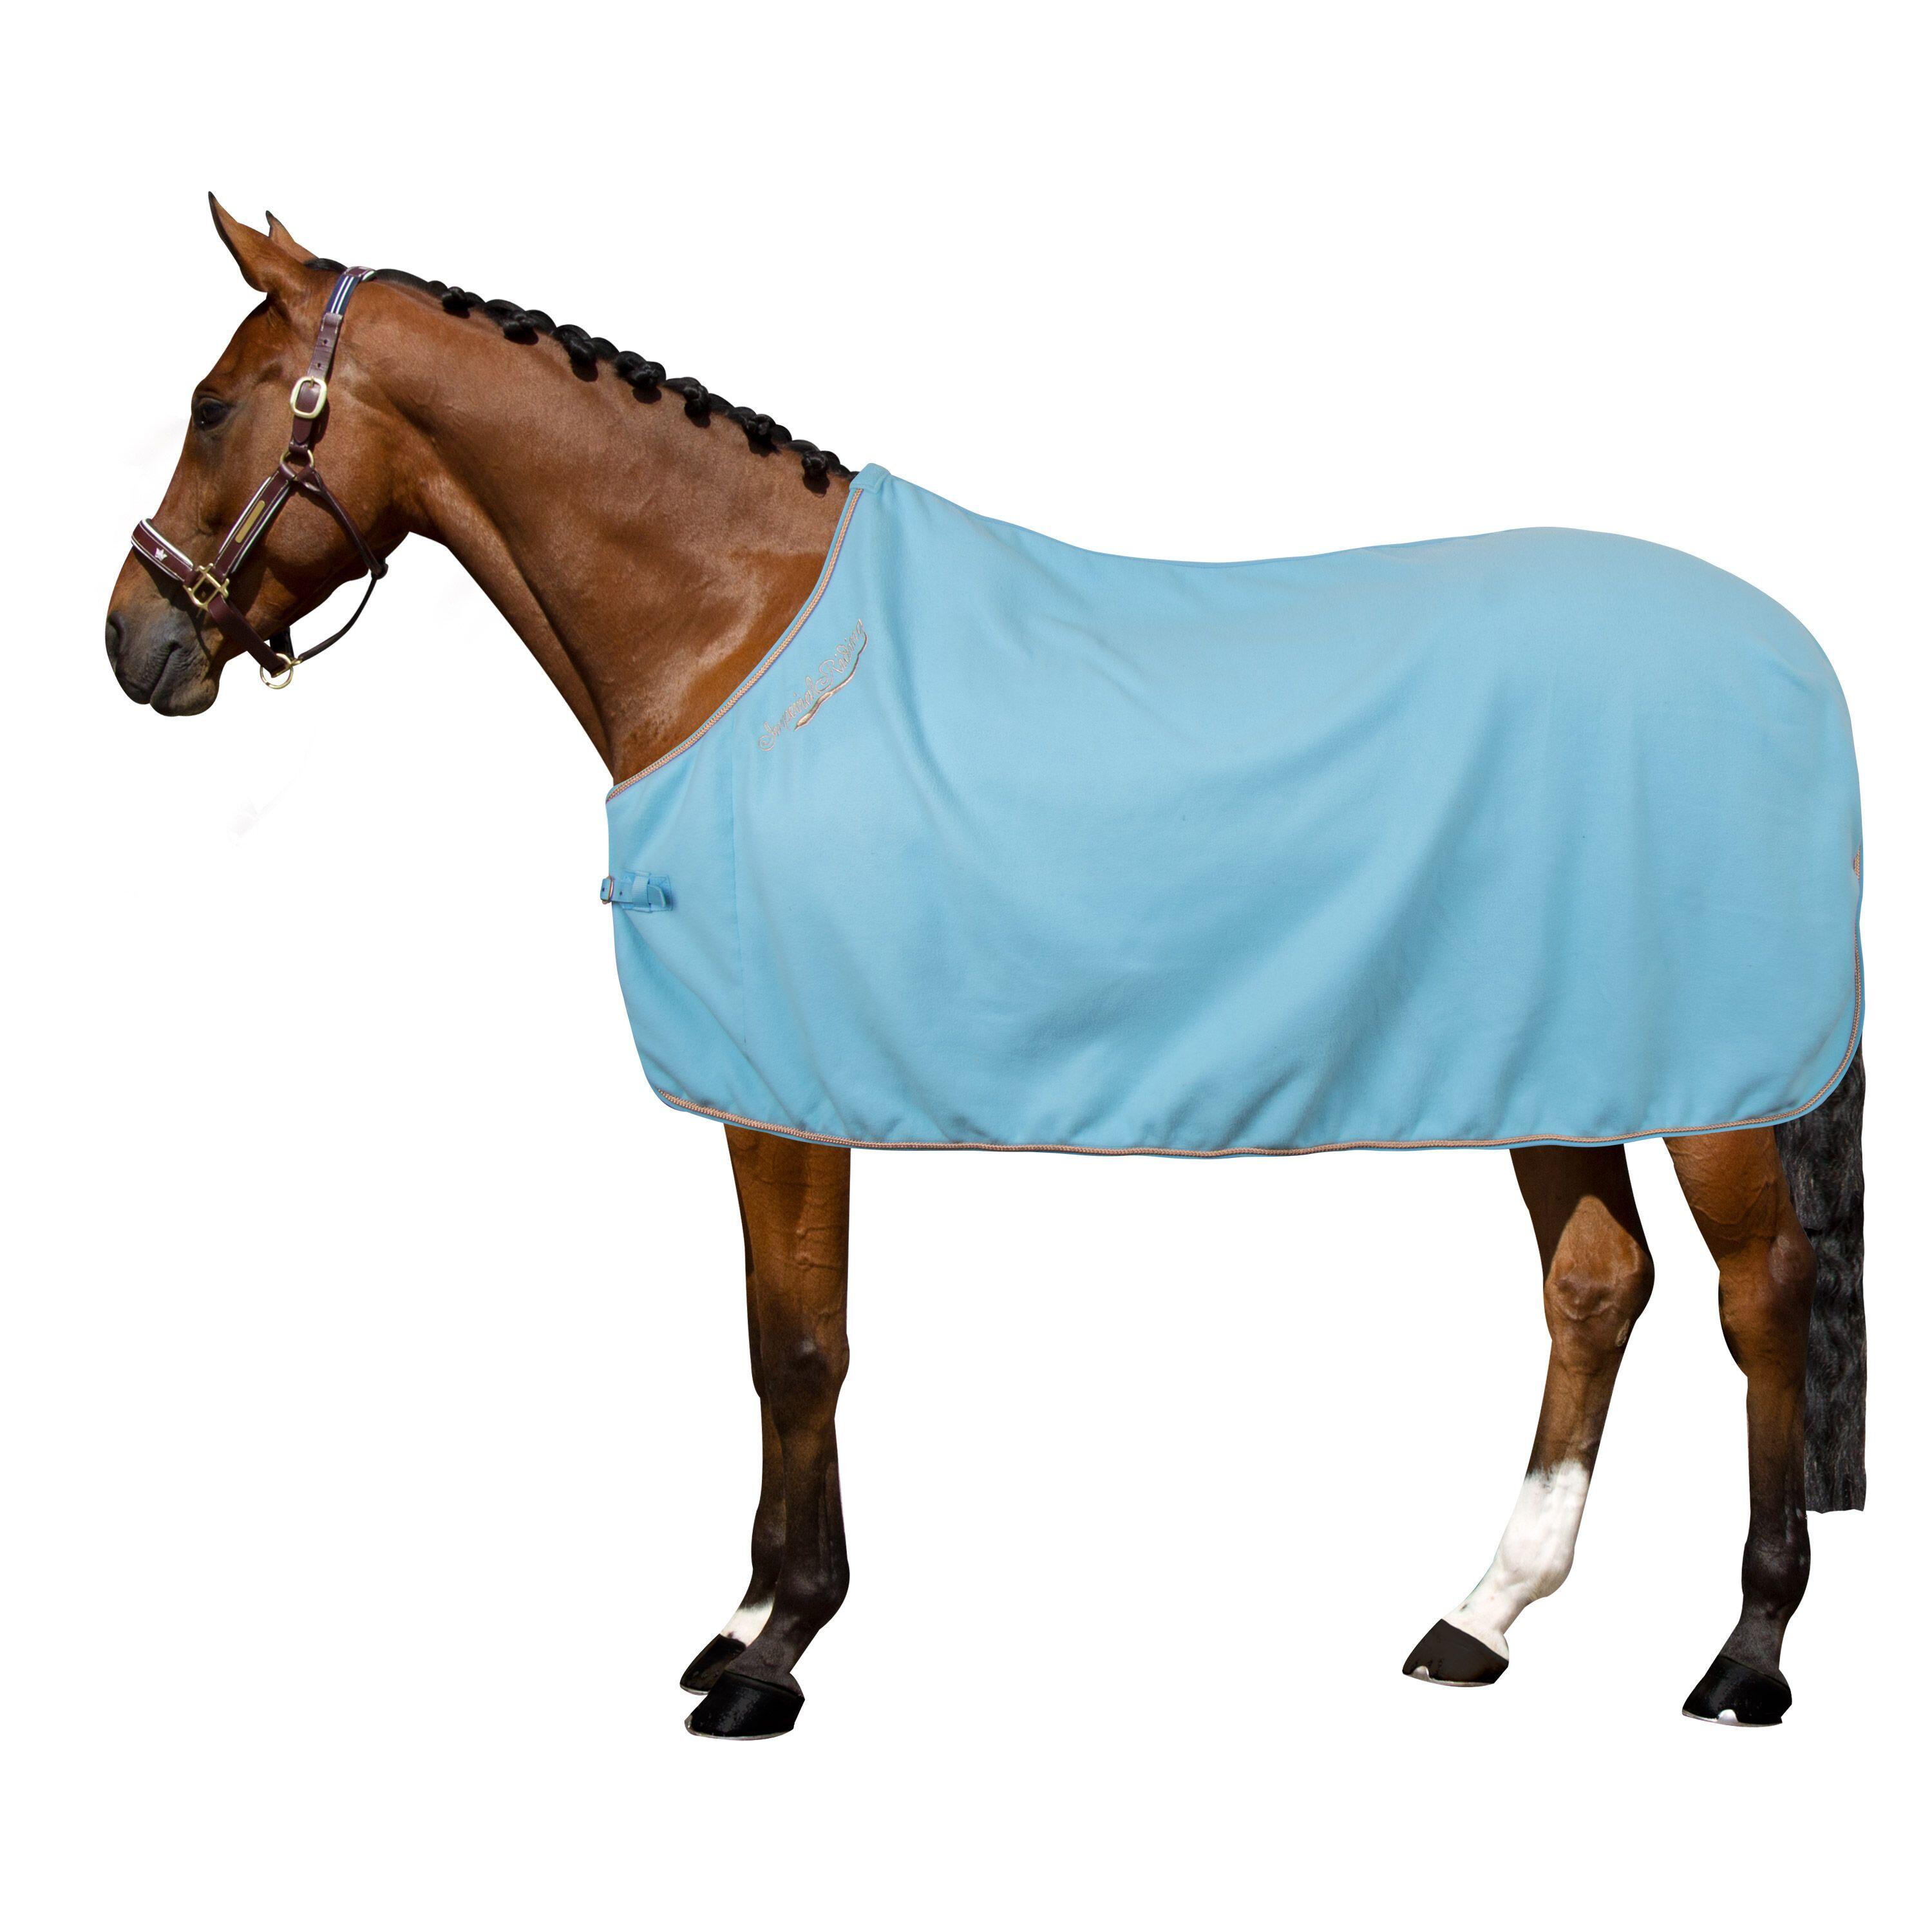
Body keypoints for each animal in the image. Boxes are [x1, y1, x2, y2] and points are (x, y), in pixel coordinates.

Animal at [105, 200, 1865, 1741]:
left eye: (213, 406)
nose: (135, 641)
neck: (739, 629)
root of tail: (1792, 652)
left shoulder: (788, 1087)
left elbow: (801, 1346)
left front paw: (775, 1654)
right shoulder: (776, 1088)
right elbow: (777, 1333)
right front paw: (742, 1624)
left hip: (1707, 1085)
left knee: (1760, 1296)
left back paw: (1746, 1652)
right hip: (1551, 1058)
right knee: (1596, 1286)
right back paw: (1480, 1617)